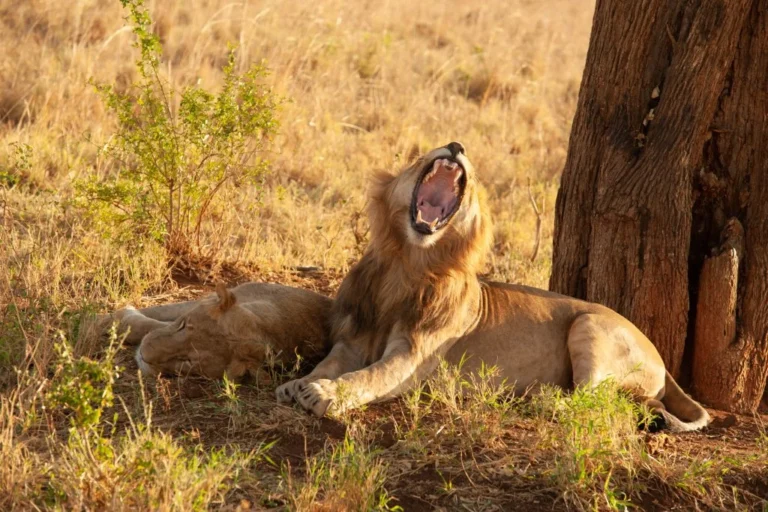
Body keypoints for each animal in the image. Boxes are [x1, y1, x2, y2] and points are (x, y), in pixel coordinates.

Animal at [276, 142, 710, 432]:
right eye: (417, 159)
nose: (456, 145)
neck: (409, 263)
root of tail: (661, 359)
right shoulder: (352, 341)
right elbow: (329, 364)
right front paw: (299, 384)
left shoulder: (412, 357)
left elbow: (366, 378)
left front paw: (325, 395)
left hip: (589, 325)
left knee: (591, 401)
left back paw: (542, 398)